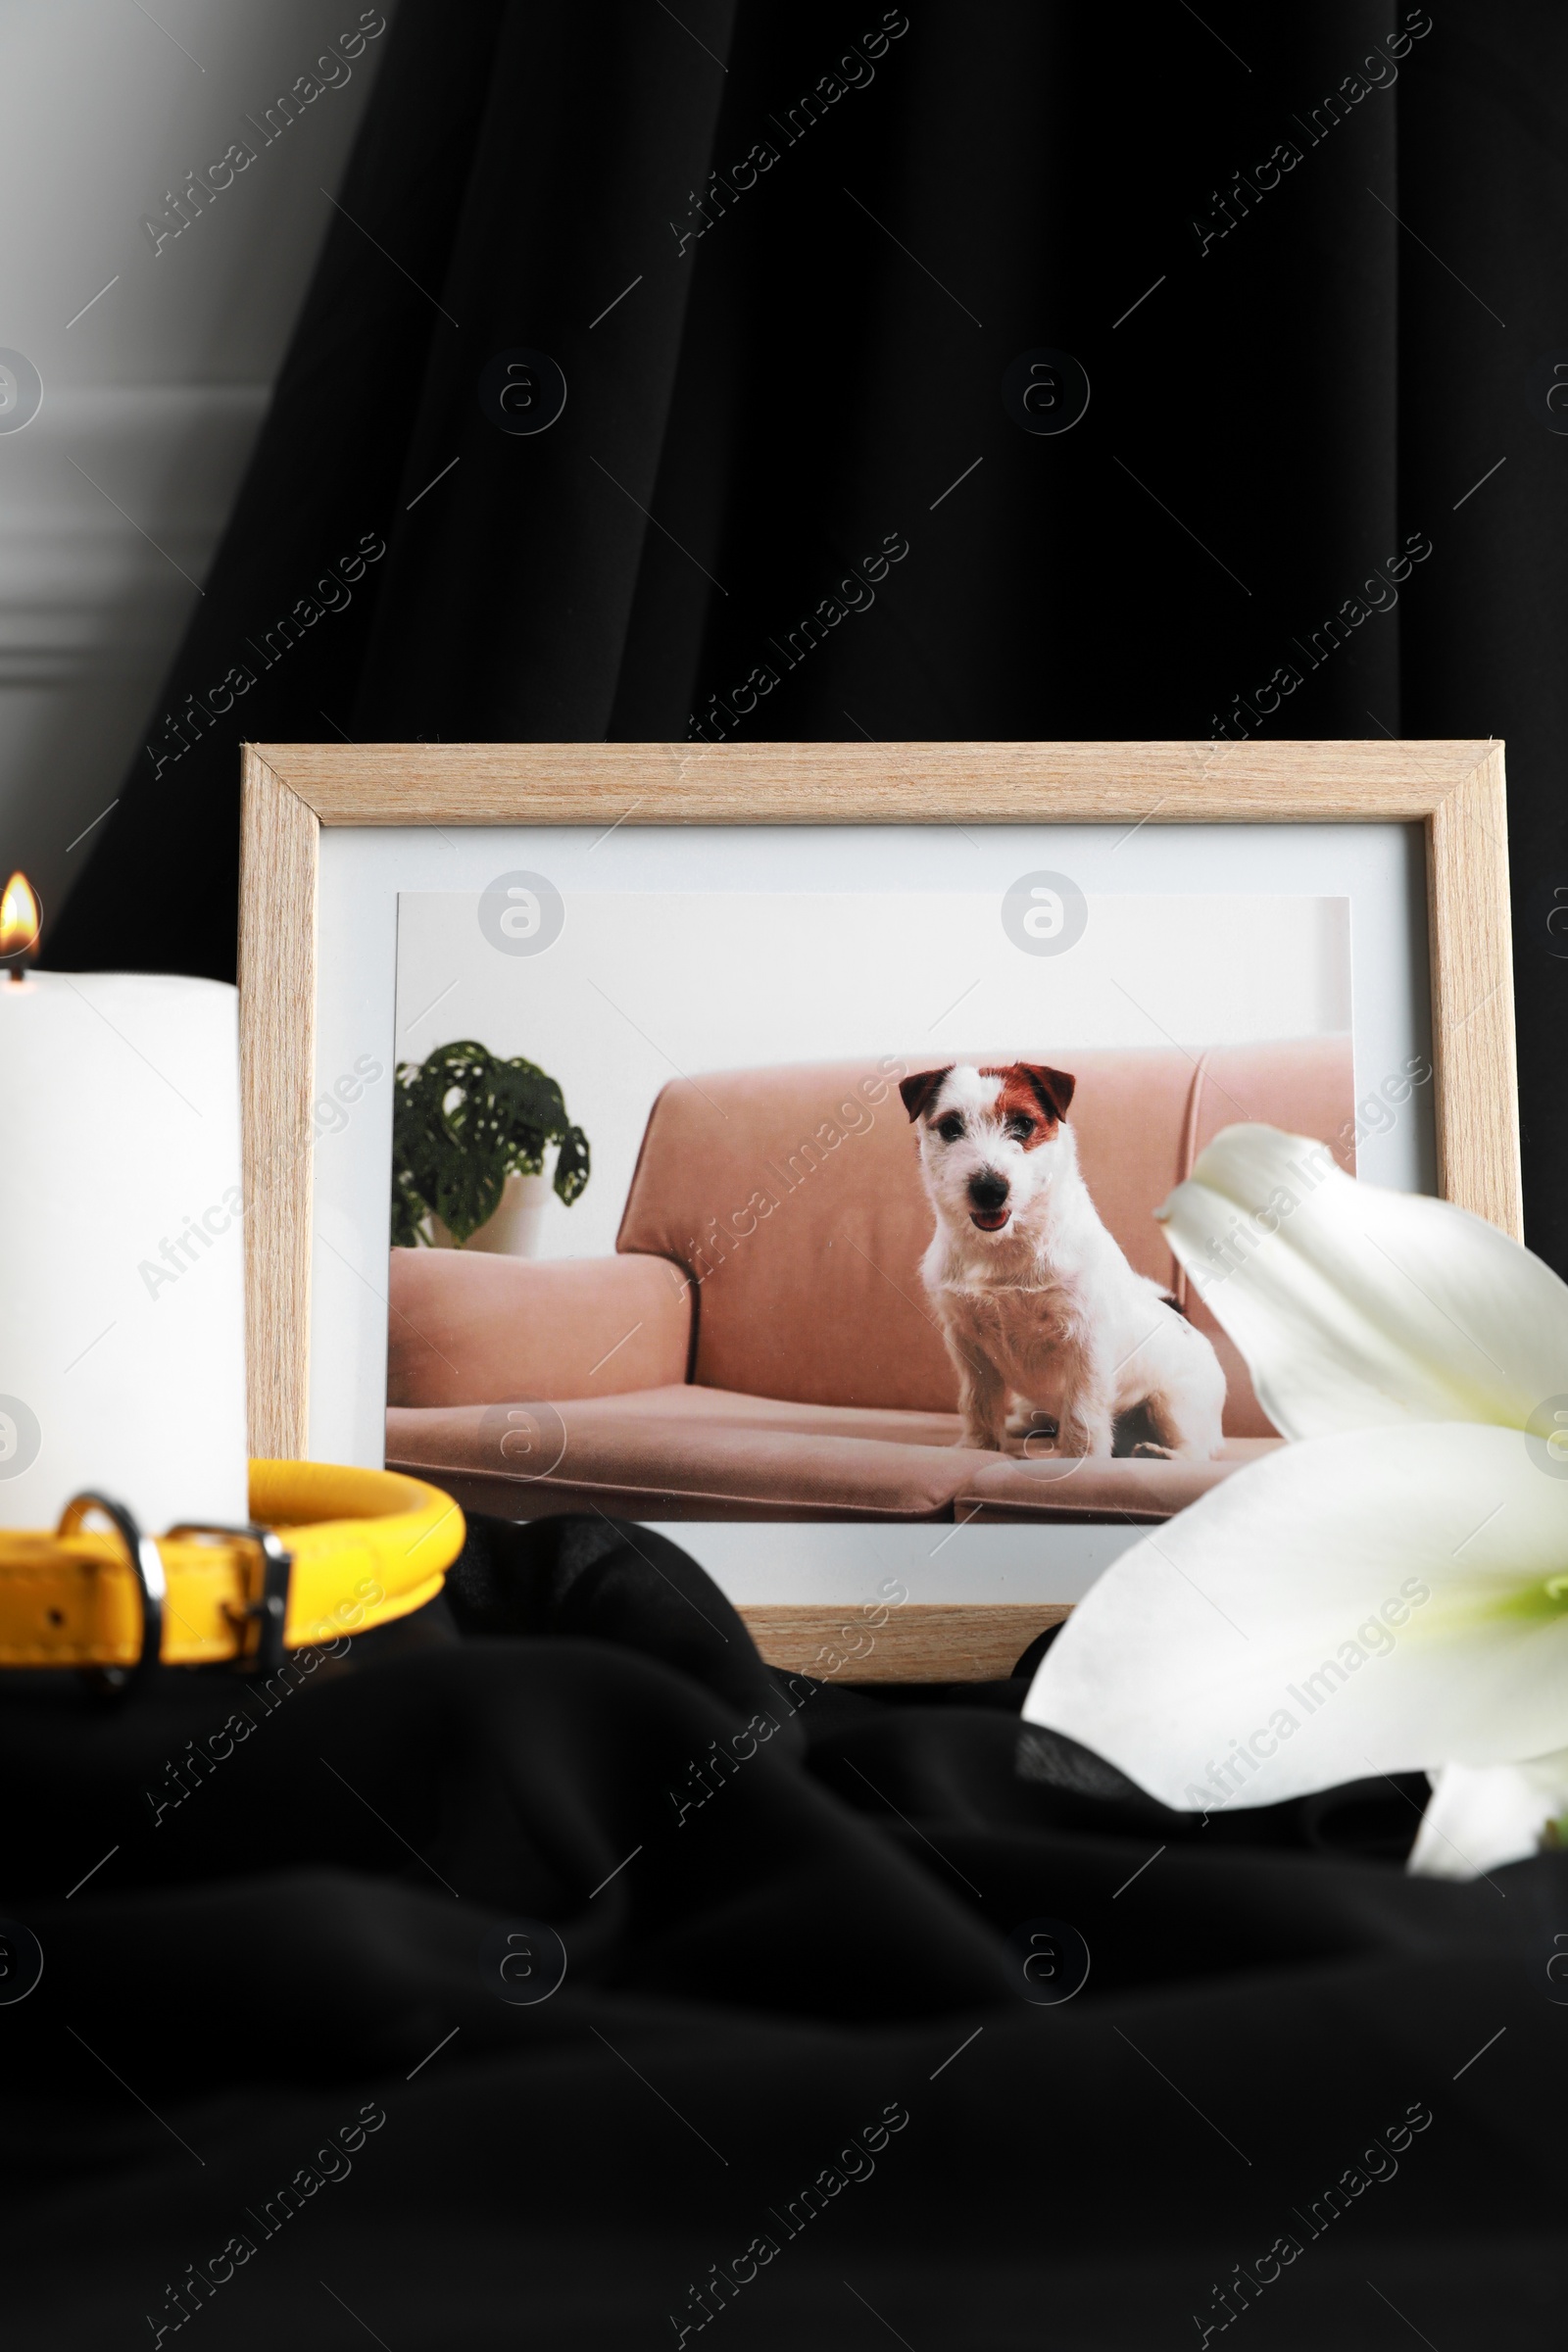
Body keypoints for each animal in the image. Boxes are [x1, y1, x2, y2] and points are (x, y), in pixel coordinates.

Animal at [906, 1062, 1222, 1458]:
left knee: (1195, 1449)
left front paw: (1079, 1458)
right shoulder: (967, 1344)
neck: (1005, 1247)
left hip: (1173, 1405)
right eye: (951, 1127)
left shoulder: (1085, 1342)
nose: (990, 1189)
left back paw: (1157, 1452)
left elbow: (1082, 1410)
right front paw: (978, 1447)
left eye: (1023, 1124)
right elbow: (977, 1402)